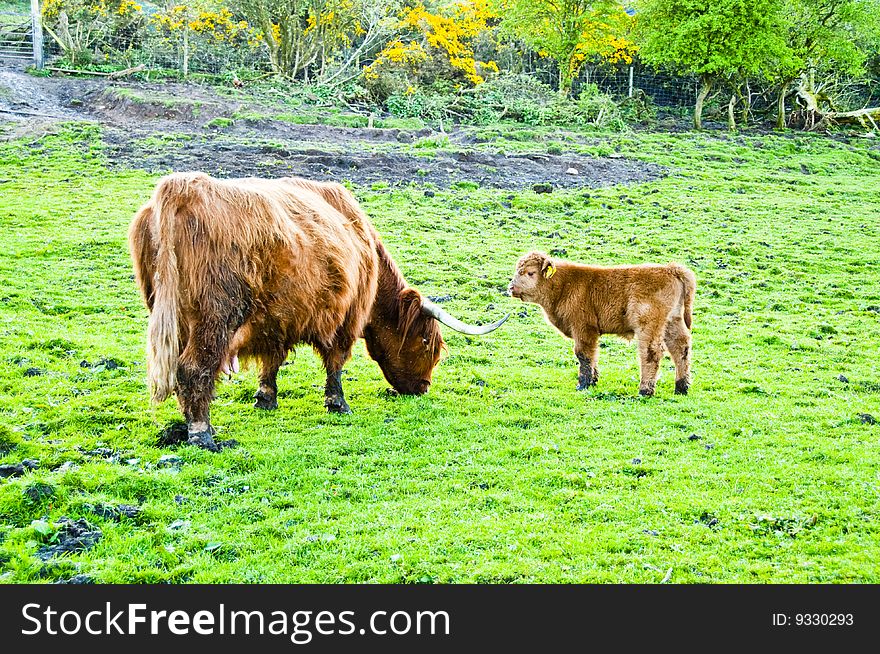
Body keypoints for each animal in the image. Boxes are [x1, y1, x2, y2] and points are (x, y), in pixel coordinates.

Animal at [127, 174, 506, 452]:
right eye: (428, 343)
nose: (423, 387)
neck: (364, 244)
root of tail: (181, 188)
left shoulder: (275, 321)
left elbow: (273, 361)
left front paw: (265, 399)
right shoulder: (347, 316)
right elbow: (336, 362)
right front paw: (338, 404)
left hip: (171, 314)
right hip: (215, 319)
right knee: (194, 369)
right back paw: (202, 433)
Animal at [508, 250, 696, 394]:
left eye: (530, 273)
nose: (511, 288)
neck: (564, 285)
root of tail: (670, 268)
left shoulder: (583, 328)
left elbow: (583, 355)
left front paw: (583, 384)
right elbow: (593, 355)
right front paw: (593, 381)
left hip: (649, 325)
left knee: (651, 352)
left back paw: (645, 390)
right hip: (672, 321)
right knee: (681, 348)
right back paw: (681, 388)